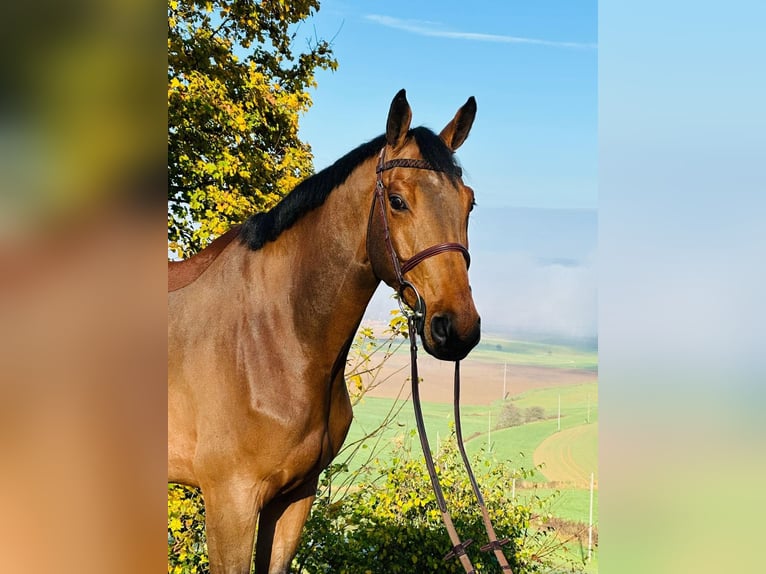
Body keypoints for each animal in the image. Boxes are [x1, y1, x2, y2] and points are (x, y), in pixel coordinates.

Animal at [168, 89, 480, 574]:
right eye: (397, 200)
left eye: (469, 203)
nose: (457, 327)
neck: (271, 337)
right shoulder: (230, 502)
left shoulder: (295, 497)